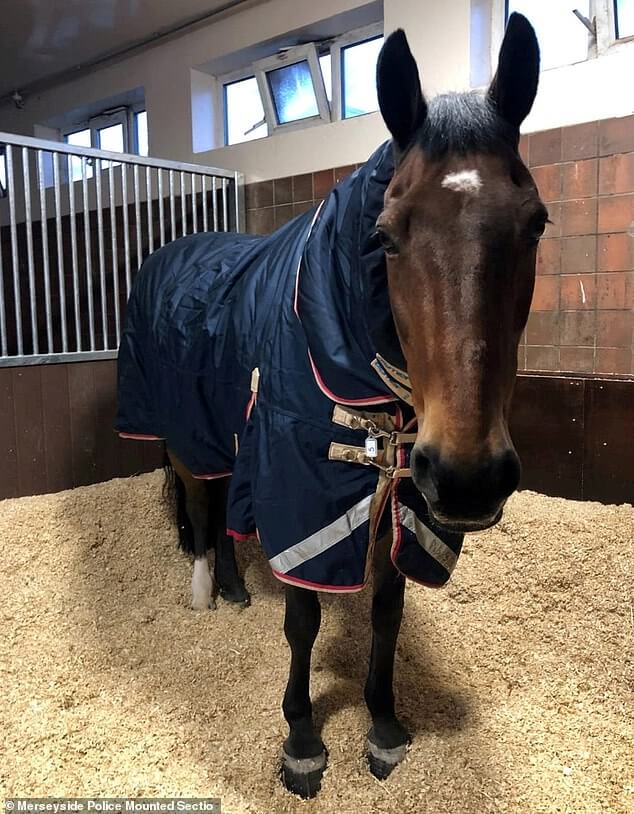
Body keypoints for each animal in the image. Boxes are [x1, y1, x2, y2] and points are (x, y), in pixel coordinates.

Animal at [117, 12, 544, 800]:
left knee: (226, 511)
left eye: (535, 223)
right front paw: (302, 741)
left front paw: (383, 726)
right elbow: (304, 618)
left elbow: (387, 612)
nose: (469, 478)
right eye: (386, 236)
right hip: (189, 432)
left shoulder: (402, 494)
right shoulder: (302, 486)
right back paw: (203, 591)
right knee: (201, 505)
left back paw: (233, 587)